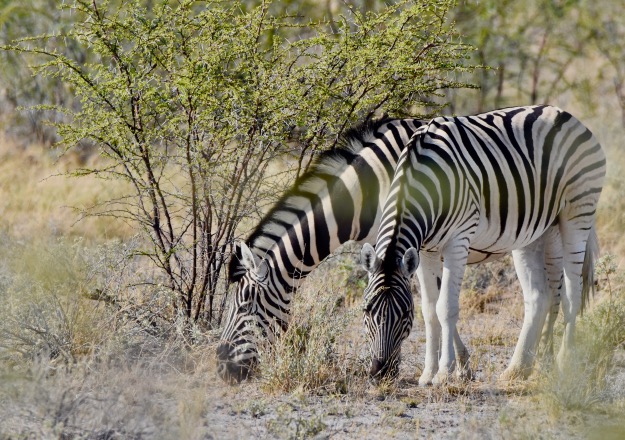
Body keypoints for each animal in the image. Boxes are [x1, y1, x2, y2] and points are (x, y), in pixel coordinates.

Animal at [360, 105, 604, 384]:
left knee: (573, 293)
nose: (380, 372)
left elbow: (445, 307)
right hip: (538, 231)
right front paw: (427, 374)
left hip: (577, 212)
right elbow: (430, 310)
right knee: (538, 296)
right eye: (366, 310)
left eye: (403, 314)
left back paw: (565, 364)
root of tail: (565, 114)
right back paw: (518, 369)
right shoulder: (425, 251)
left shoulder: (458, 241)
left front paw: (444, 373)